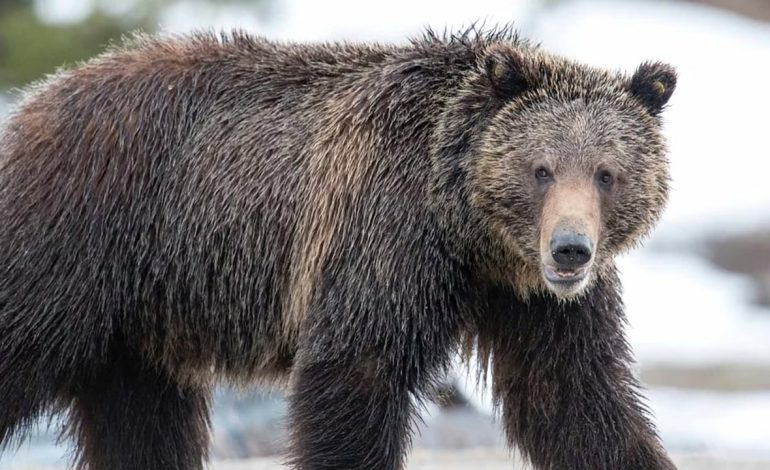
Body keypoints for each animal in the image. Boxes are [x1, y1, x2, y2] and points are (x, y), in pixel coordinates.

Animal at [0, 27, 677, 470]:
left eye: (607, 173)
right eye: (541, 169)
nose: (570, 250)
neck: (468, 230)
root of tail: (34, 101)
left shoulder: (536, 303)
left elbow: (576, 397)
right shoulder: (384, 238)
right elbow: (355, 374)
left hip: (139, 322)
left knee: (141, 423)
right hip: (77, 238)